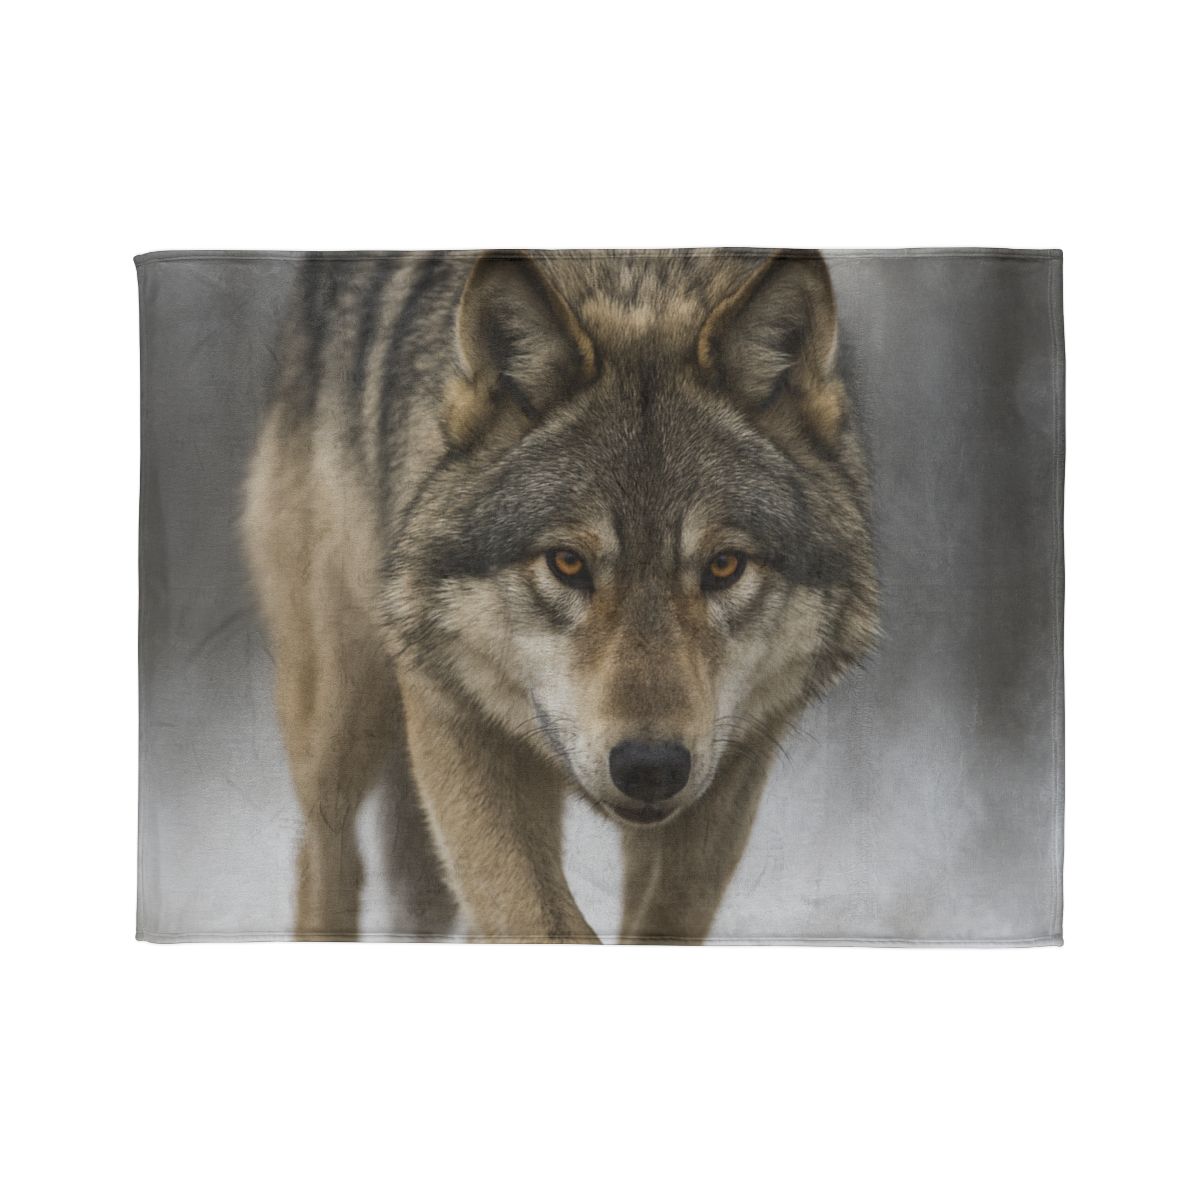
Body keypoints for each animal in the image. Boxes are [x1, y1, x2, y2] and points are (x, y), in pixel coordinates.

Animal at [242, 249, 878, 943]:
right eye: (568, 562)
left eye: (724, 565)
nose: (650, 766)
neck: (636, 280)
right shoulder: (453, 716)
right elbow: (543, 924)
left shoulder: (735, 763)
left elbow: (663, 917)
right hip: (340, 710)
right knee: (327, 851)